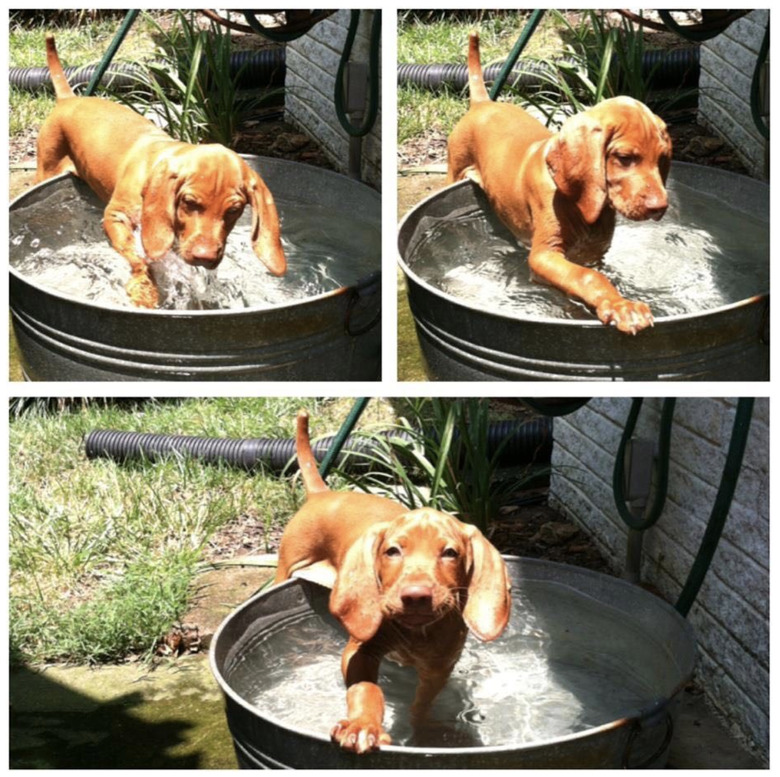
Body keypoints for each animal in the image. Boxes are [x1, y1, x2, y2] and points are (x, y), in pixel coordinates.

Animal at [35, 34, 286, 310]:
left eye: (234, 210)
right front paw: (144, 290)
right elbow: (138, 257)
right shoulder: (115, 217)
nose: (204, 256)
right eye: (189, 202)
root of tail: (70, 99)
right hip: (47, 167)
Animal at [274, 410, 512, 756]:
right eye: (393, 551)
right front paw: (363, 726)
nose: (415, 596)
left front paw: (422, 733)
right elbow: (366, 689)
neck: (416, 633)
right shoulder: (360, 651)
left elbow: (420, 706)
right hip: (287, 563)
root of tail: (324, 493)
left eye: (450, 553)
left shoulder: (438, 669)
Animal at [448, 33, 672, 332]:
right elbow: (588, 277)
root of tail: (483, 103)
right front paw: (623, 307)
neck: (578, 202)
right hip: (454, 169)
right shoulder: (544, 255)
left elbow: (585, 278)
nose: (660, 207)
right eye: (625, 158)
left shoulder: (593, 254)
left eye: (662, 159)